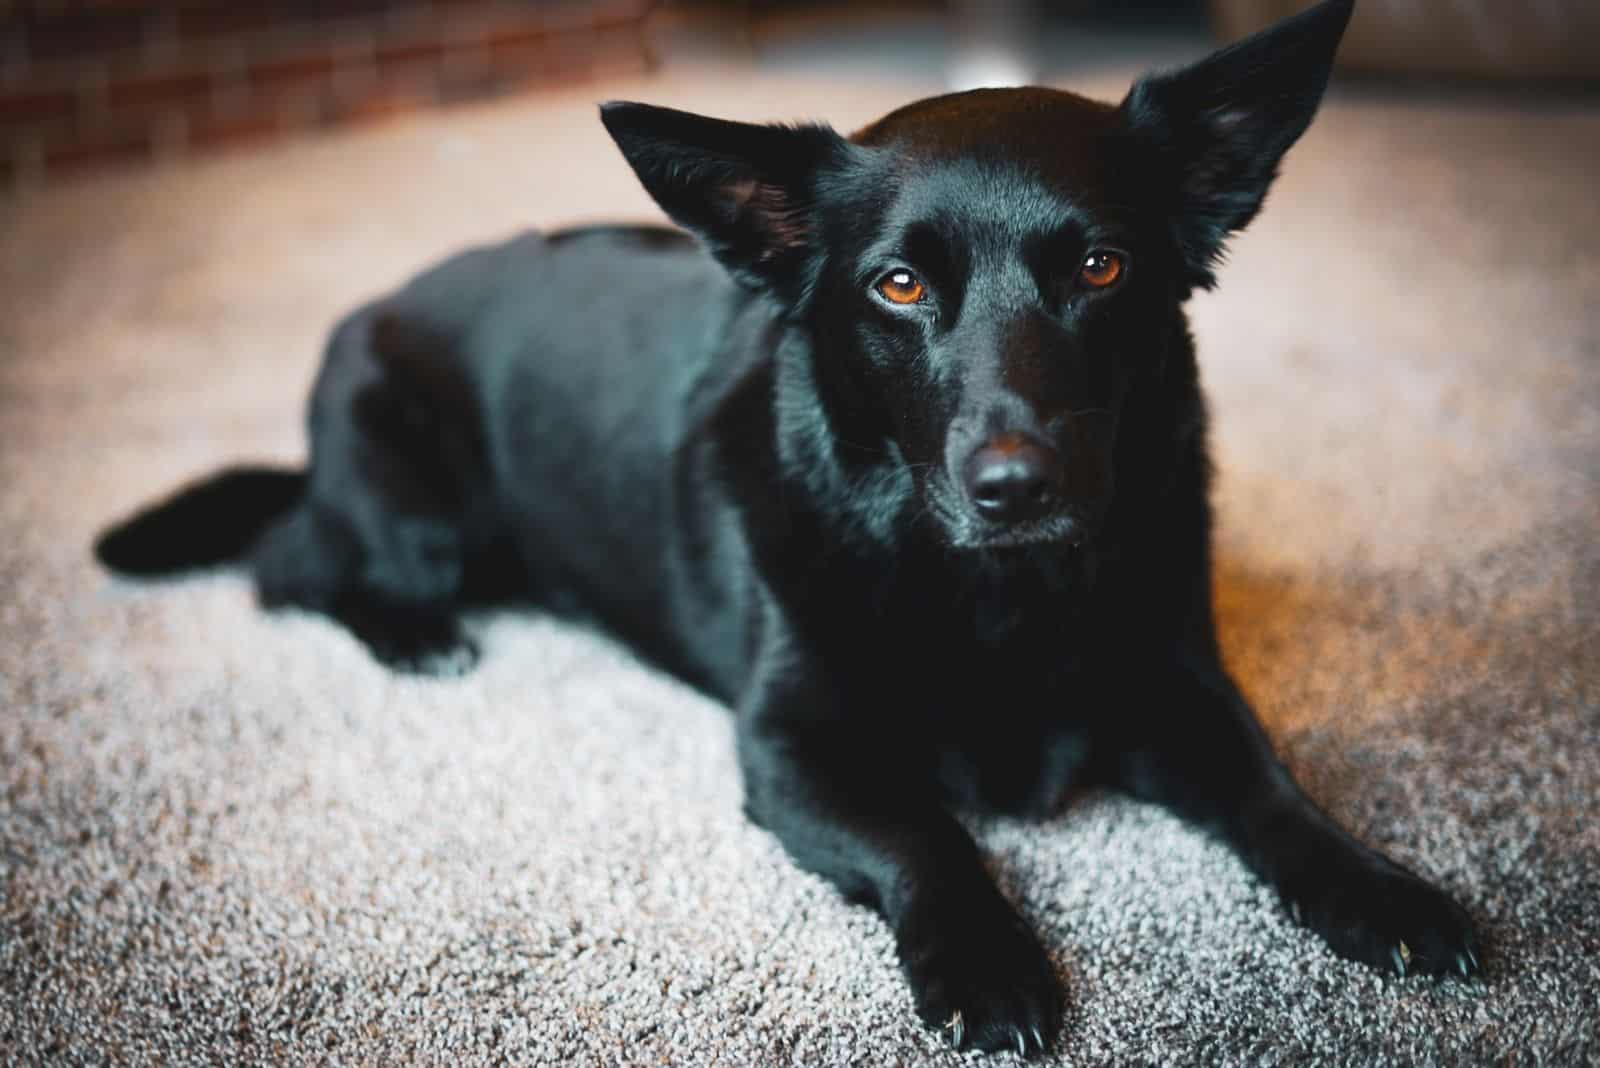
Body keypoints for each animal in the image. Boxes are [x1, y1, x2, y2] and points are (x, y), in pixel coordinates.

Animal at [96, 0, 1472, 1048]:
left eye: (1101, 268)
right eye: (899, 285)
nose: (1015, 487)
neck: (992, 596)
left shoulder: (1177, 688)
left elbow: (1271, 790)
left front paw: (1379, 889)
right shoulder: (794, 749)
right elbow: (928, 838)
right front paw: (986, 965)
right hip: (415, 518)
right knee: (291, 563)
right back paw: (414, 635)